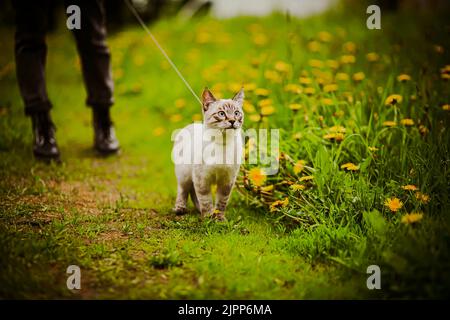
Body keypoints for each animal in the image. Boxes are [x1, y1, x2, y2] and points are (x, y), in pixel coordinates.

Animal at [172, 86, 244, 220]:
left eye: (236, 113)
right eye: (222, 114)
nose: (232, 121)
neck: (222, 143)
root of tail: (191, 125)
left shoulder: (227, 181)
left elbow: (221, 202)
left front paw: (219, 218)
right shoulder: (202, 178)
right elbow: (206, 200)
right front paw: (208, 217)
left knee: (192, 192)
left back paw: (198, 209)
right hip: (185, 174)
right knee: (183, 190)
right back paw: (180, 209)